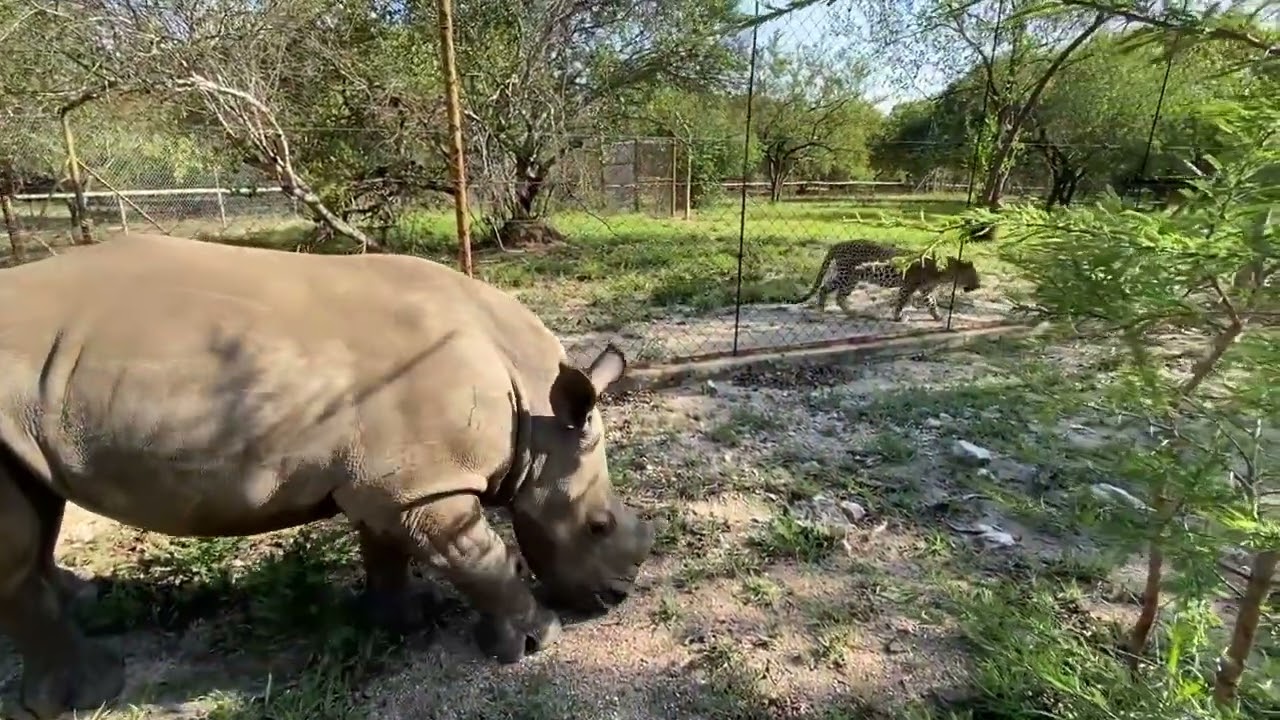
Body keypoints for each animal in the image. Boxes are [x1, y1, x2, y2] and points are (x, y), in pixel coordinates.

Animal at [0, 233, 655, 719]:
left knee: (40, 506)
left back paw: (86, 604)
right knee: (20, 547)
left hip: (33, 408)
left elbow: (386, 548)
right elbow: (479, 557)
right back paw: (90, 693)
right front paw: (537, 639)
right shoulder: (427, 485)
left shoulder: (397, 481)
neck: (536, 415)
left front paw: (402, 623)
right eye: (598, 526)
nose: (616, 599)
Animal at [796, 240, 982, 321]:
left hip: (849, 278)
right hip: (847, 276)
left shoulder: (925, 290)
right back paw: (823, 311)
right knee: (829, 291)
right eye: (974, 276)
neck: (945, 274)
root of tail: (839, 244)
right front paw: (898, 316)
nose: (979, 285)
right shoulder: (908, 286)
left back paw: (849, 312)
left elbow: (931, 303)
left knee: (834, 293)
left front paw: (938, 317)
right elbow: (901, 301)